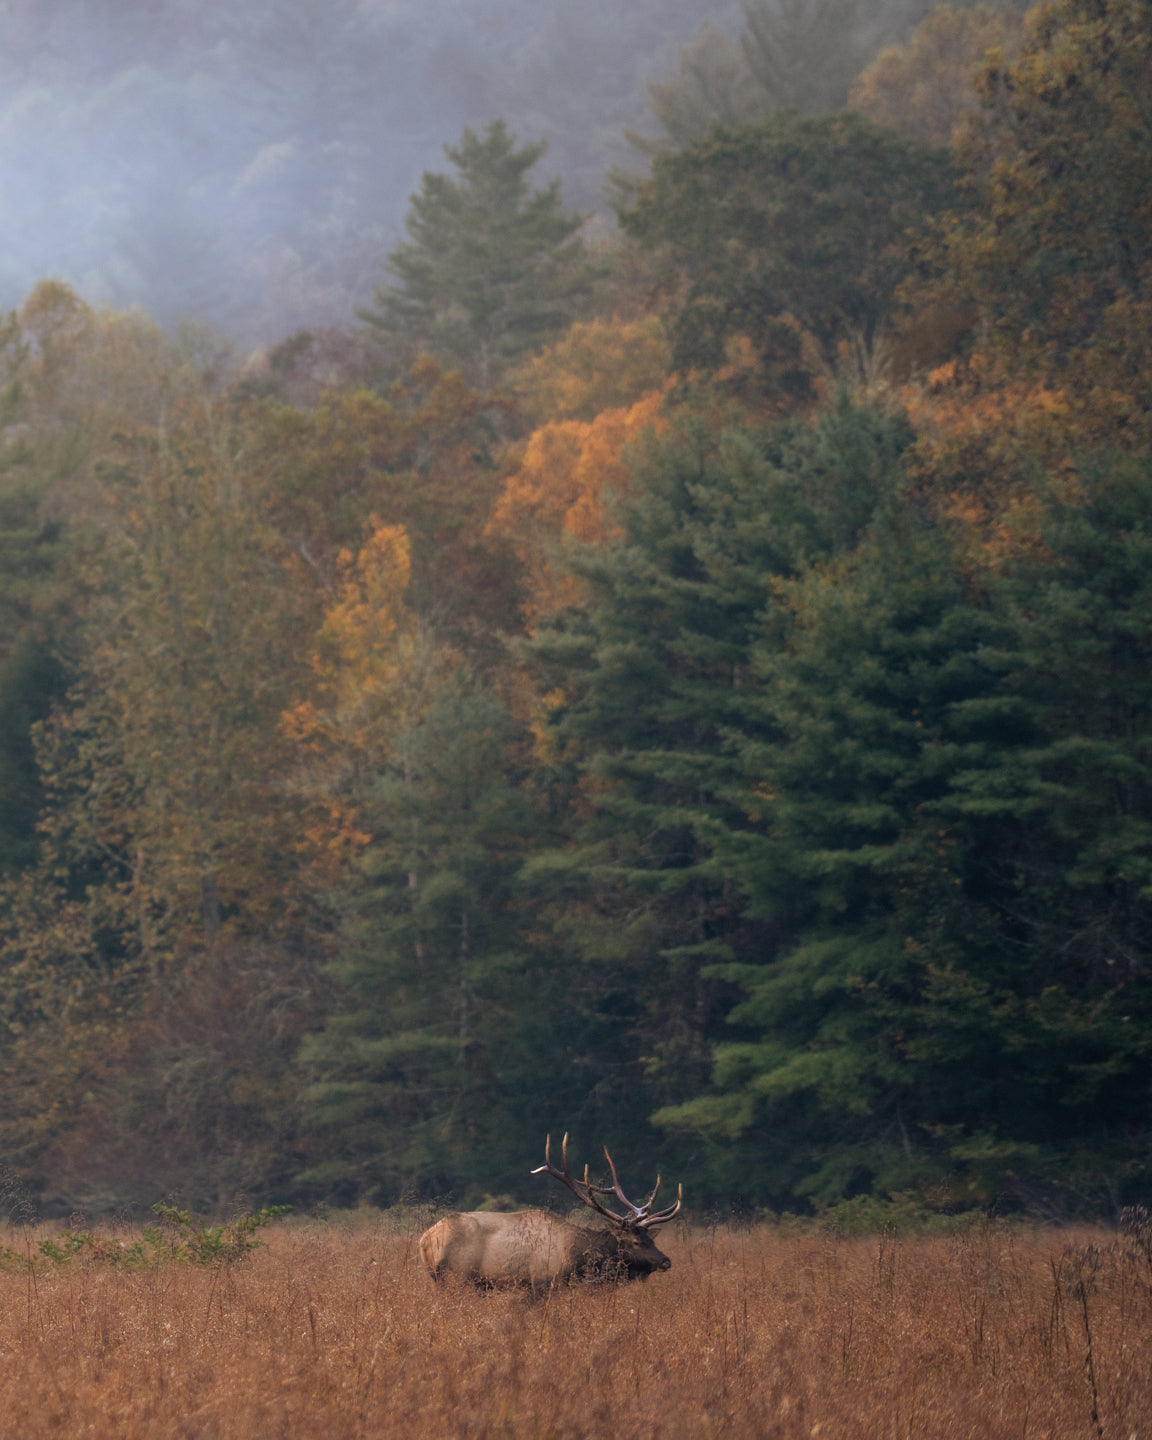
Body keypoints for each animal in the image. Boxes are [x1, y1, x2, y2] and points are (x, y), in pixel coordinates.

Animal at [418, 1133, 682, 1292]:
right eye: (636, 1242)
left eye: (651, 1239)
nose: (666, 1261)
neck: (577, 1257)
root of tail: (424, 1240)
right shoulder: (542, 1282)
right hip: (456, 1278)